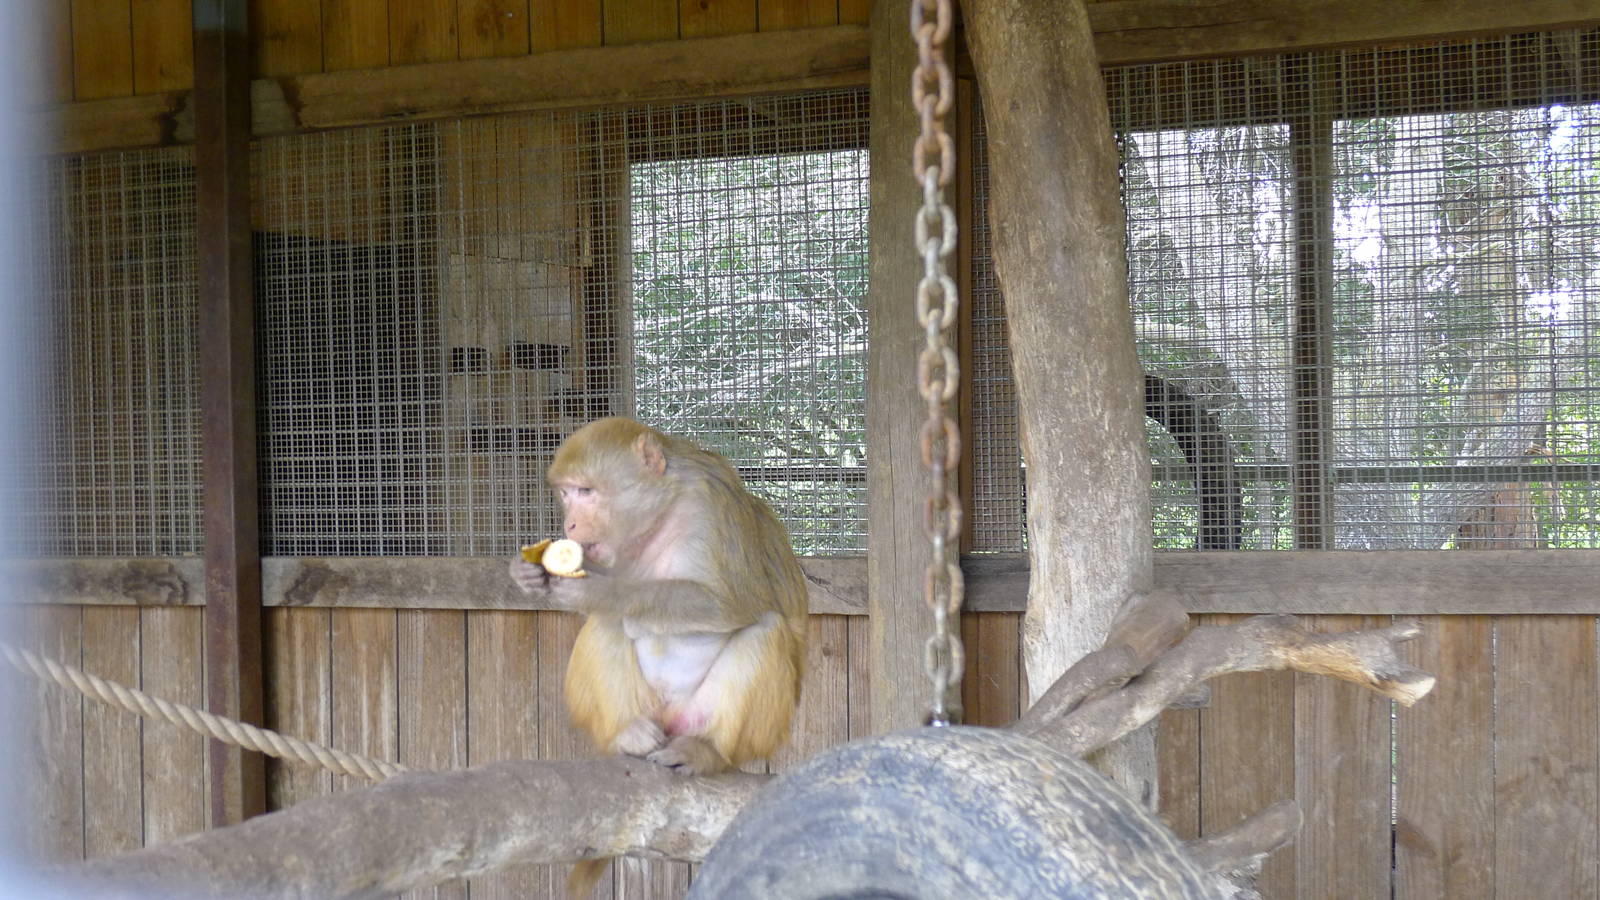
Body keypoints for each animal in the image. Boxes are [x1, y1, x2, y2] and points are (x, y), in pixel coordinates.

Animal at [508, 417, 808, 895]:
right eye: (566, 493)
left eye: (586, 491)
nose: (569, 524)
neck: (661, 515)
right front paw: (525, 574)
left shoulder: (709, 504)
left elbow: (733, 603)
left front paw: (602, 590)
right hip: (639, 709)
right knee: (608, 626)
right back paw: (626, 737)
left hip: (755, 732)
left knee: (764, 630)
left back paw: (707, 751)